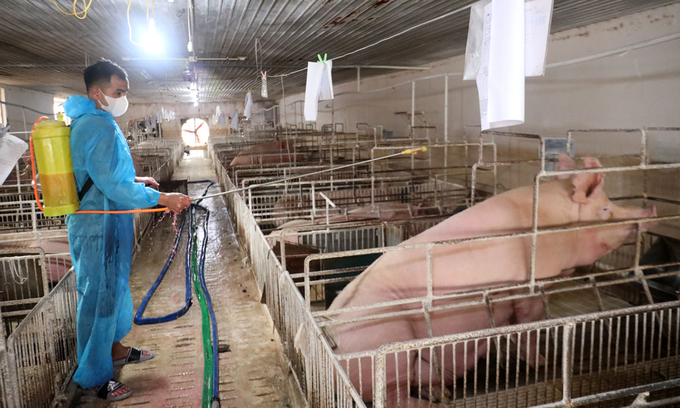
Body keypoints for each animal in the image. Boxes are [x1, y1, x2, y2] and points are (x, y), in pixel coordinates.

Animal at [326, 155, 656, 404]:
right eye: (605, 208)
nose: (650, 211)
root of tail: (332, 341)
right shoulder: (529, 287)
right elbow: (529, 326)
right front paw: (543, 361)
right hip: (390, 345)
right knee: (394, 398)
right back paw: (440, 399)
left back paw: (441, 391)